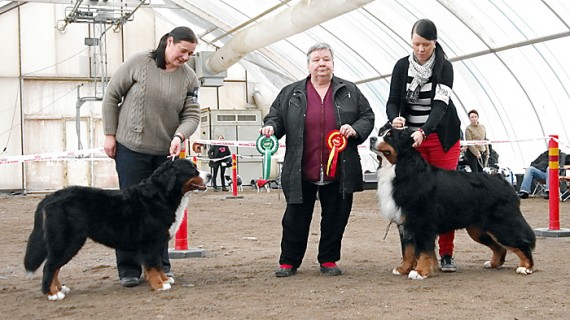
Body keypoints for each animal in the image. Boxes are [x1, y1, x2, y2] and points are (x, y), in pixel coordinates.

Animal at [23, 159, 209, 300]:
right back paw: (52, 294)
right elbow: (153, 265)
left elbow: (158, 265)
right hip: (67, 241)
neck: (161, 195)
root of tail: (50, 197)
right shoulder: (151, 242)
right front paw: (159, 285)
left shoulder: (158, 242)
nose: (209, 175)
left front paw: (165, 279)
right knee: (50, 266)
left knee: (55, 267)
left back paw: (60, 289)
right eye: (192, 170)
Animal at [370, 122, 536, 280]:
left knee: (522, 243)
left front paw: (420, 272)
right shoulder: (405, 223)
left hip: (502, 224)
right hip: (478, 229)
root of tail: (503, 181)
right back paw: (493, 263)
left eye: (389, 136)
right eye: (381, 133)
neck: (399, 168)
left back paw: (525, 267)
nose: (372, 139)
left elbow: (422, 251)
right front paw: (403, 269)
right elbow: (408, 250)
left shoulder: (421, 222)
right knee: (499, 247)